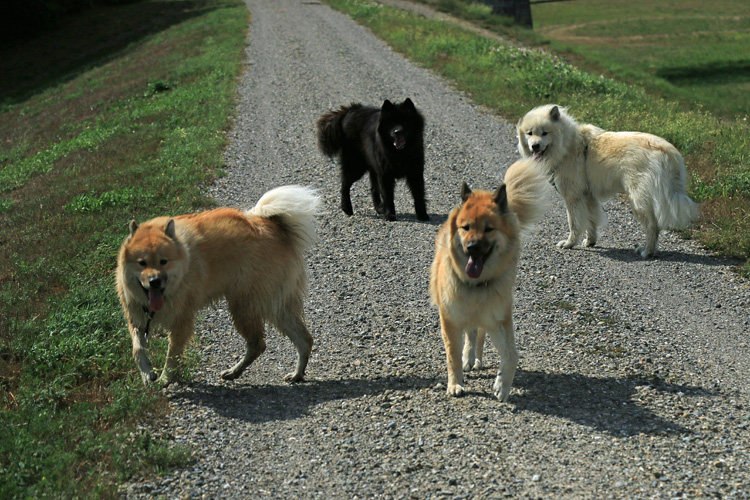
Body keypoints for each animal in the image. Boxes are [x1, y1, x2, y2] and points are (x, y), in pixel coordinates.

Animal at [516, 103, 700, 256]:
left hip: (637, 199)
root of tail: (668, 151)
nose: (535, 146)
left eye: (544, 133)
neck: (567, 146)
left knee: (652, 227)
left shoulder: (572, 197)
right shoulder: (587, 196)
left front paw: (569, 244)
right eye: (530, 133)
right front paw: (590, 242)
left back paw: (646, 251)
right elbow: (591, 221)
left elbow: (574, 223)